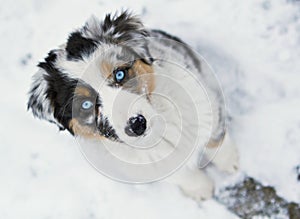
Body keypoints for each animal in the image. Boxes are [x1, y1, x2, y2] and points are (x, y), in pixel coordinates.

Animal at [28, 10, 239, 202]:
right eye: (85, 105)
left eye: (120, 74)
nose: (137, 125)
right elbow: (182, 175)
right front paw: (200, 190)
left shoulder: (207, 104)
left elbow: (215, 139)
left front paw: (231, 164)